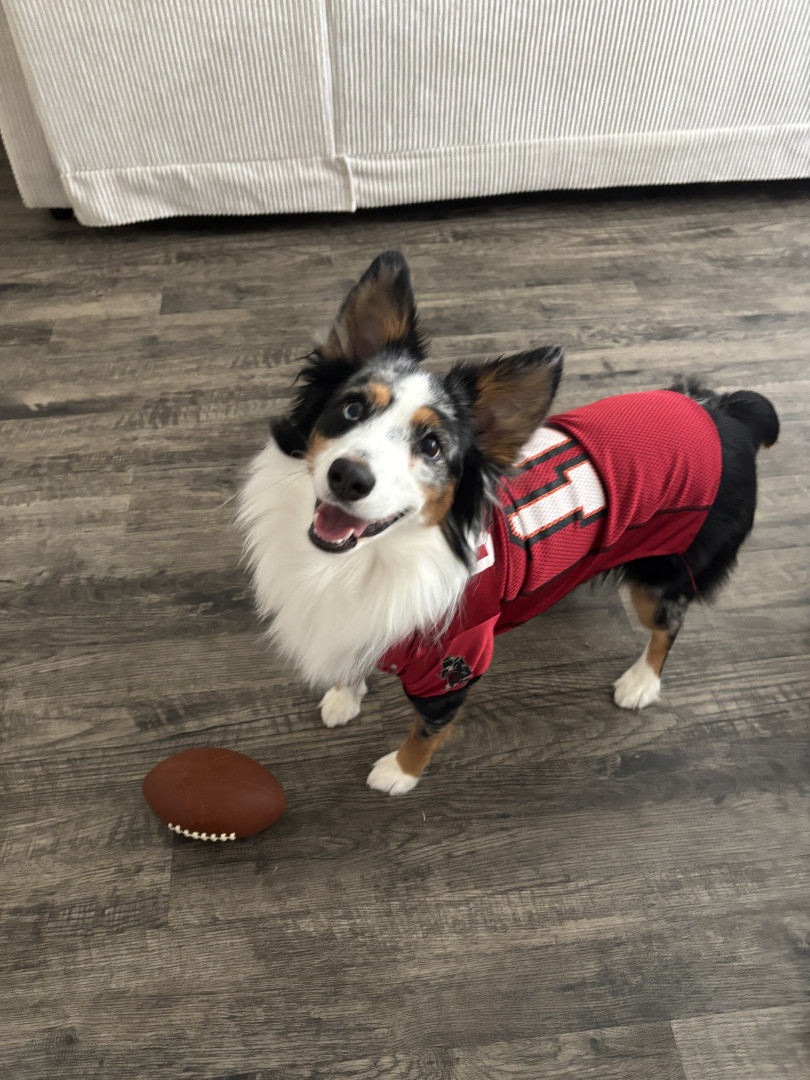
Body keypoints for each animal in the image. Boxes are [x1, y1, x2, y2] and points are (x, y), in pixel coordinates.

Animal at [239, 252, 779, 795]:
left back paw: (641, 682)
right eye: (351, 408)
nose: (348, 476)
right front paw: (344, 695)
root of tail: (723, 412)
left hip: (662, 575)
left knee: (668, 626)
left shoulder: (452, 667)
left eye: (432, 447)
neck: (366, 561)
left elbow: (425, 731)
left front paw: (399, 773)